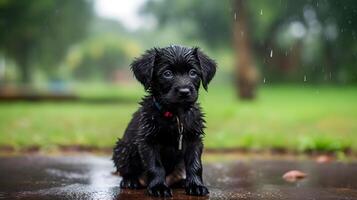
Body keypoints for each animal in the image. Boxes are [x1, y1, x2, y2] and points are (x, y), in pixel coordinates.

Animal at [112, 45, 216, 197]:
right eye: (167, 73)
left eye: (193, 73)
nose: (184, 91)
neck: (175, 115)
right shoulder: (148, 141)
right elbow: (156, 166)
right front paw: (158, 187)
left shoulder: (194, 140)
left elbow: (195, 165)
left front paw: (196, 185)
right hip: (124, 149)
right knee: (126, 171)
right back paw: (130, 181)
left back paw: (182, 182)